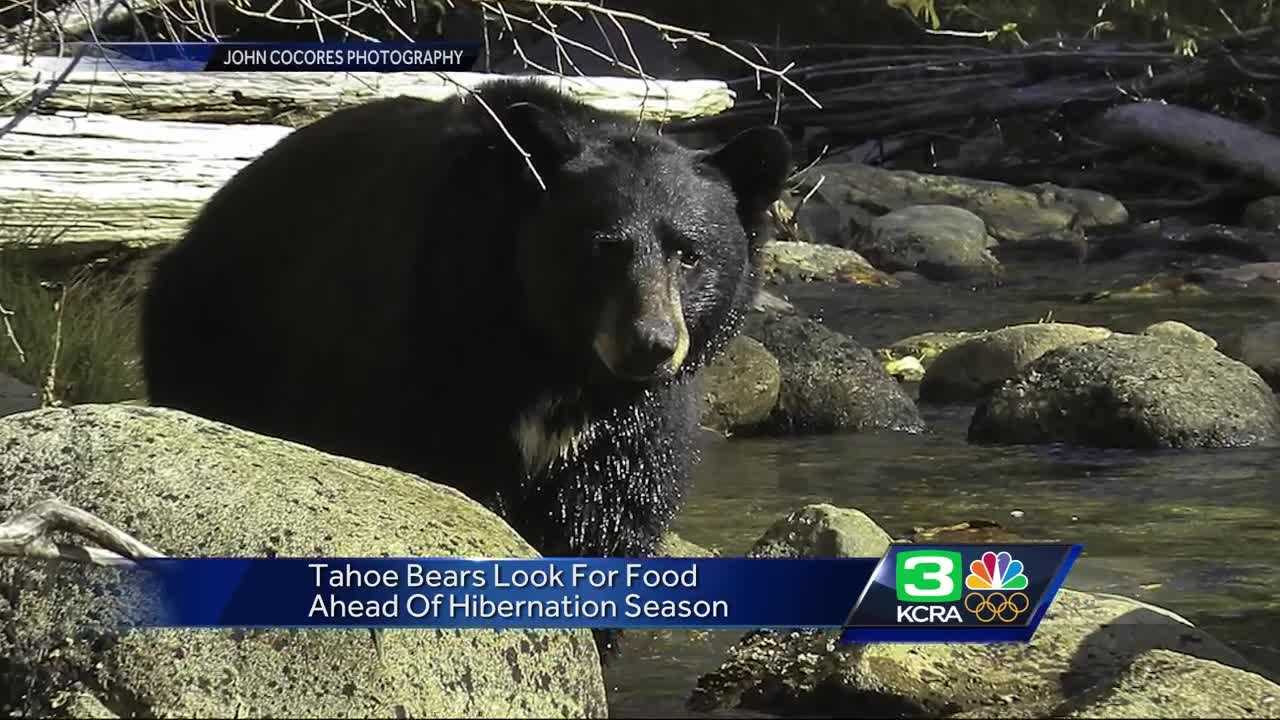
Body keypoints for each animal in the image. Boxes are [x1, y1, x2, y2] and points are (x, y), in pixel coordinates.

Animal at [140, 79, 791, 563]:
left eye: (689, 253)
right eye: (604, 248)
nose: (649, 344)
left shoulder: (625, 431)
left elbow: (606, 522)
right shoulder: (426, 349)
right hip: (220, 328)